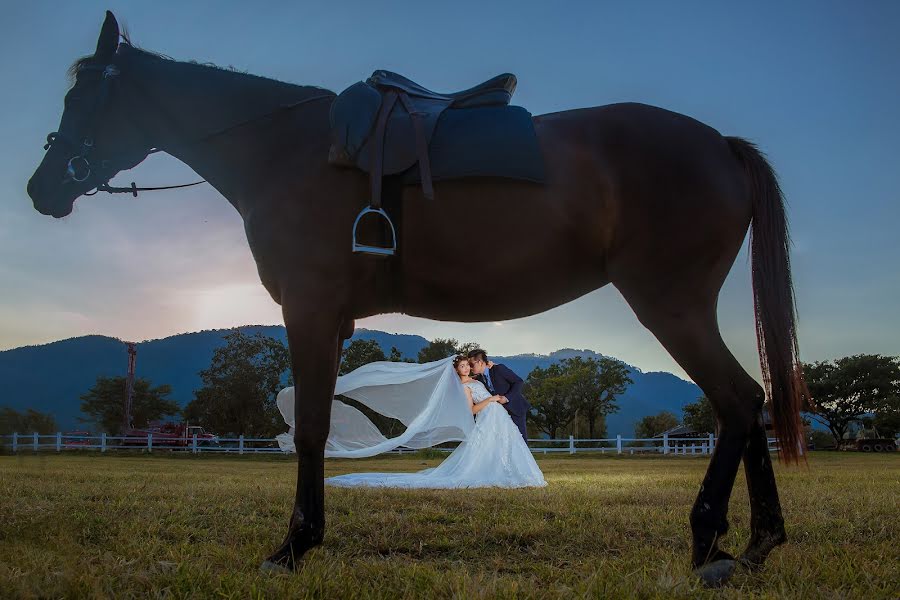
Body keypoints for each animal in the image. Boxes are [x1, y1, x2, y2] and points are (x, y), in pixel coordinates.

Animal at [28, 10, 808, 584]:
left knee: (737, 400)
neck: (284, 149)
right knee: (750, 403)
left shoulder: (309, 310)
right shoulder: (331, 320)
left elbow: (311, 428)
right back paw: (757, 545)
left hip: (670, 304)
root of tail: (720, 144)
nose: (43, 187)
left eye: (81, 97)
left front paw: (293, 546)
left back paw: (710, 542)